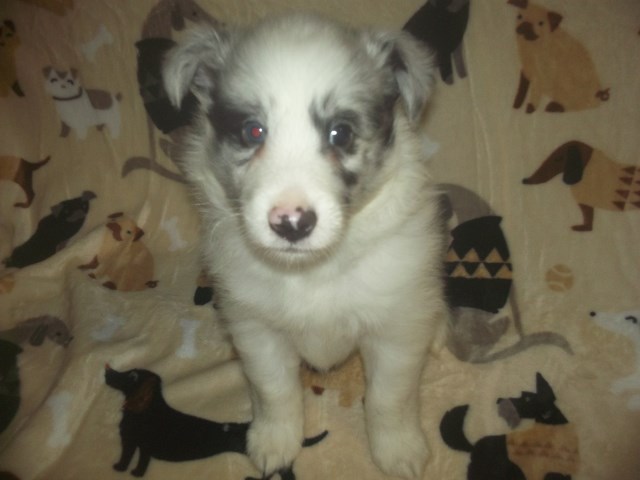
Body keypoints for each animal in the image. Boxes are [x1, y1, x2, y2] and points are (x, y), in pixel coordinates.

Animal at [162, 13, 448, 478]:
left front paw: (397, 449)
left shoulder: (395, 332)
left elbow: (390, 397)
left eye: (341, 134)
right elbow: (274, 389)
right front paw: (275, 440)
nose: (292, 222)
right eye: (252, 130)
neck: (311, 271)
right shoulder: (256, 327)